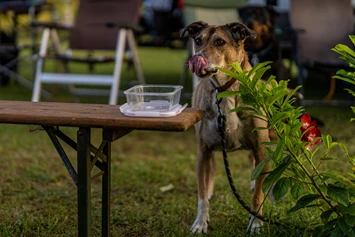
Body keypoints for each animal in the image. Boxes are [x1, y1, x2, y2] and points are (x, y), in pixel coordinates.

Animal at [182, 21, 272, 233]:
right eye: (198, 41)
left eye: (219, 42)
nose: (197, 57)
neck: (225, 89)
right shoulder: (203, 150)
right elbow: (201, 195)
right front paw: (200, 222)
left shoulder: (261, 148)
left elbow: (257, 195)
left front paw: (255, 222)